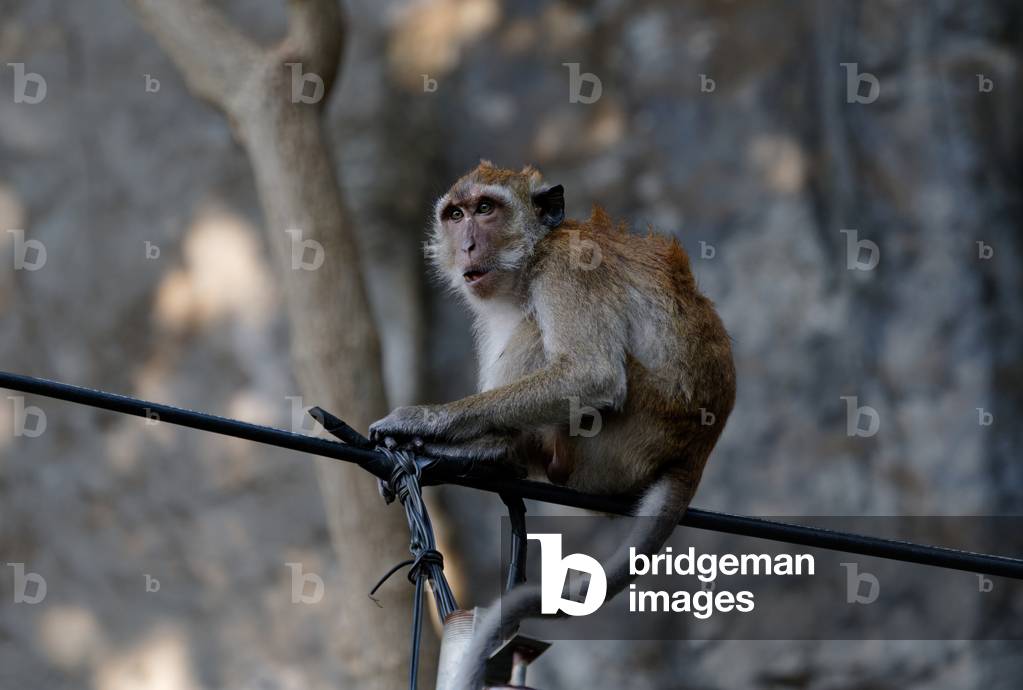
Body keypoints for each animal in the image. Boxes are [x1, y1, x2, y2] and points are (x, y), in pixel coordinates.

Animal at [369, 161, 735, 687]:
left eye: (486, 208)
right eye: (456, 214)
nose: (468, 245)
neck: (535, 253)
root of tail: (694, 453)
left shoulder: (567, 269)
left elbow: (591, 373)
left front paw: (424, 421)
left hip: (619, 443)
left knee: (535, 331)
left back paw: (493, 451)